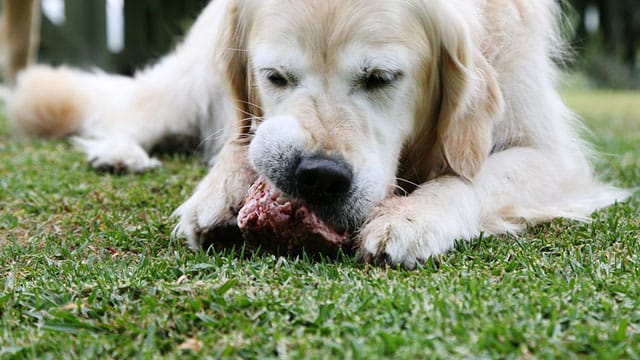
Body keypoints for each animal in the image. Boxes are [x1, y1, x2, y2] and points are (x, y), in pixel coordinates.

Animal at [8, 0, 632, 268]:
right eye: (275, 76)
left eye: (381, 78)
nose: (317, 177)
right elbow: (245, 140)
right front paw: (220, 190)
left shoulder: (551, 154)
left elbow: (472, 177)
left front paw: (414, 216)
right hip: (191, 78)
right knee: (136, 110)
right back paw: (119, 152)